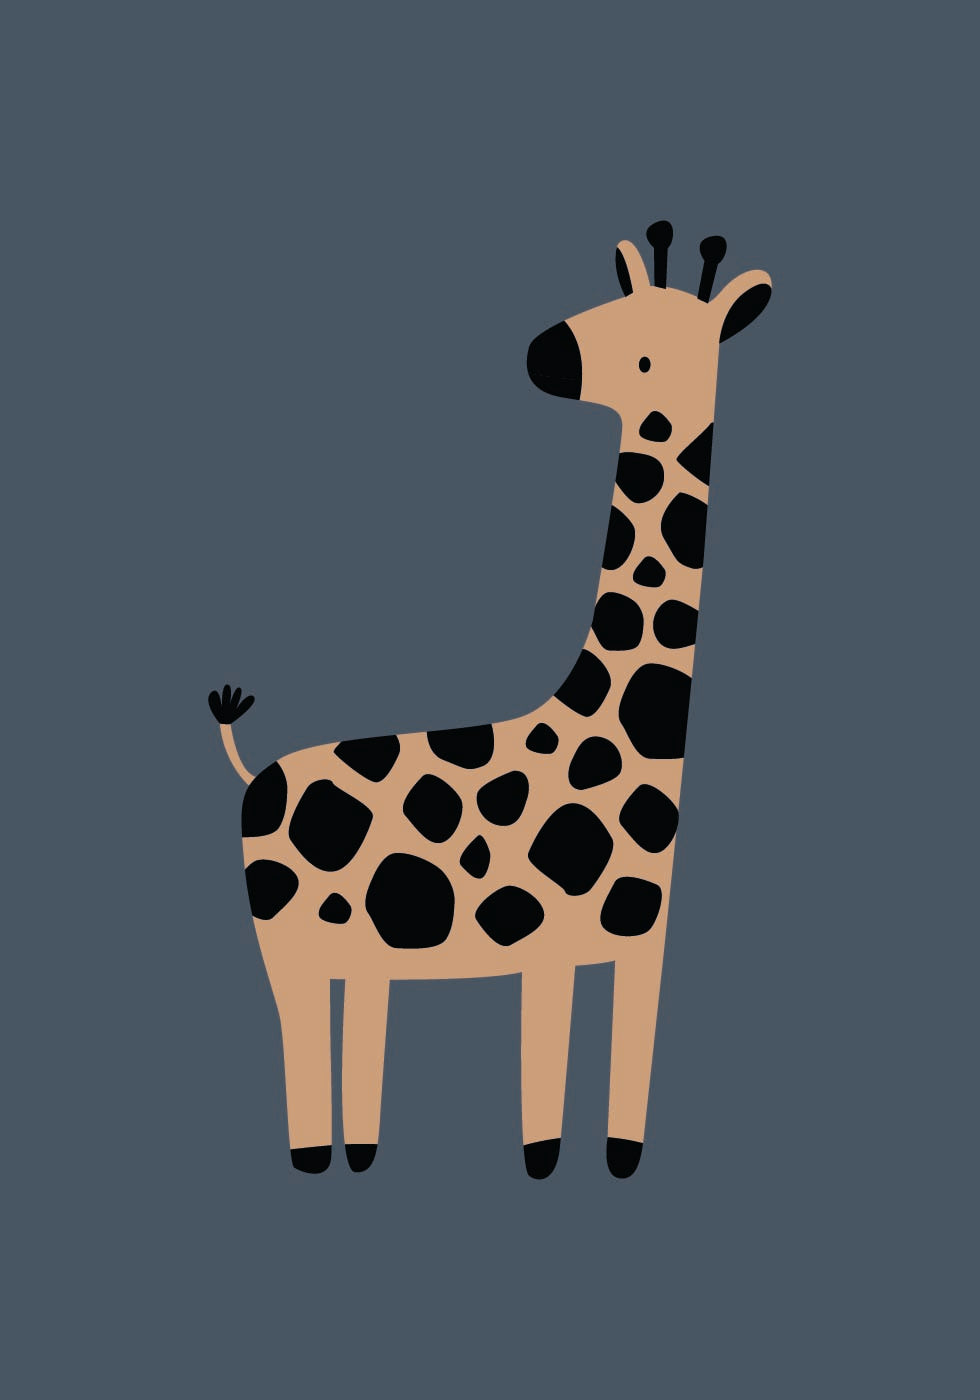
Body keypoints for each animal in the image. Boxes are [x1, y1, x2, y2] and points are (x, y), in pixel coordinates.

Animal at [209, 218, 771, 1178]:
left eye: (648, 356)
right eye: (608, 312)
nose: (544, 352)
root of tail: (256, 774)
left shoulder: (639, 943)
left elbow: (622, 1083)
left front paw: (616, 1165)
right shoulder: (539, 942)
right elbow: (540, 1104)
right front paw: (549, 1169)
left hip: (360, 942)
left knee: (354, 1027)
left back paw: (361, 1155)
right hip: (281, 937)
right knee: (297, 1034)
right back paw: (315, 1158)